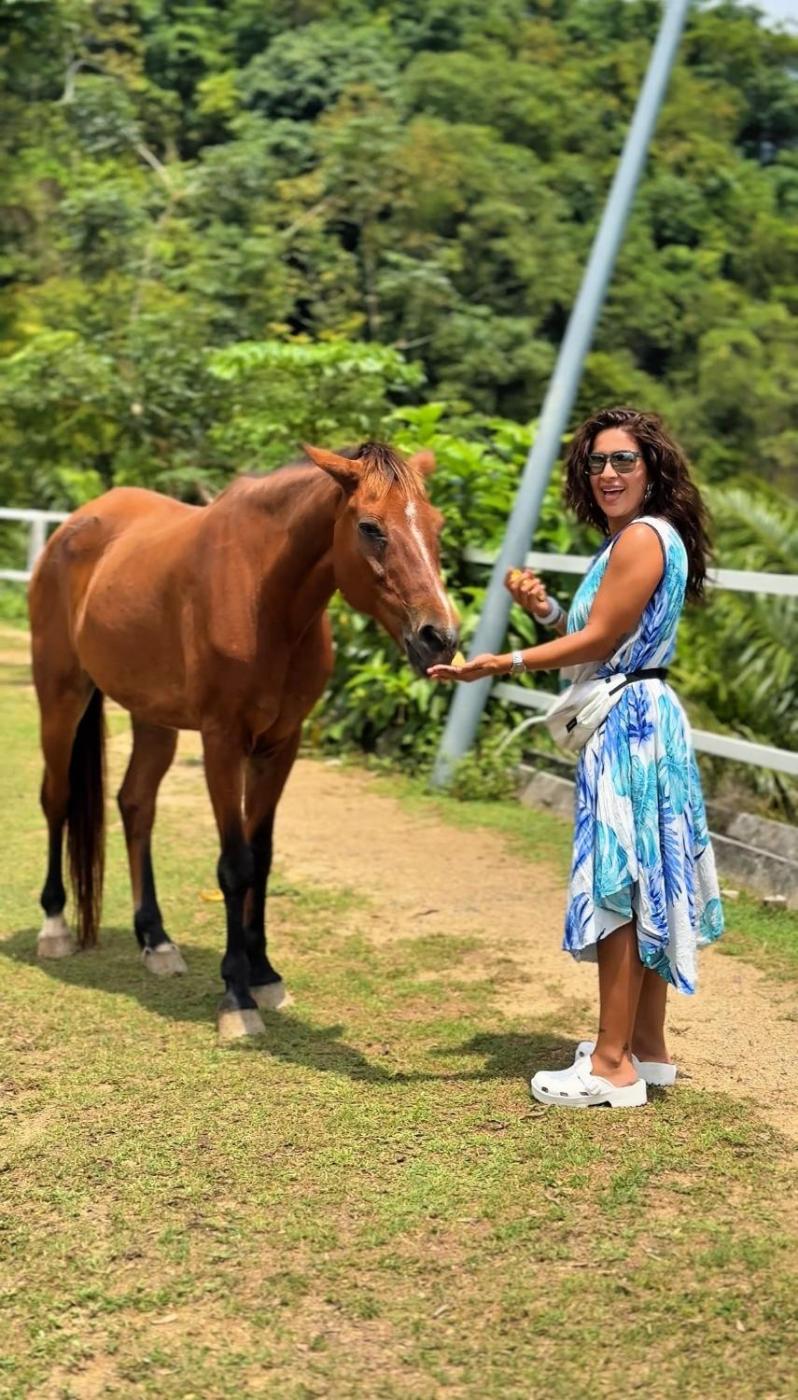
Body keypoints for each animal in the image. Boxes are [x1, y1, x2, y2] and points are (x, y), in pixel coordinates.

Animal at [28, 441, 458, 1040]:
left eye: (437, 526)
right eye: (371, 527)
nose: (439, 637)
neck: (264, 597)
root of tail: (72, 527)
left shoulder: (280, 746)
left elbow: (264, 857)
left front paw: (264, 973)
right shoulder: (223, 743)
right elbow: (235, 864)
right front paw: (236, 995)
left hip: (152, 718)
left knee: (136, 805)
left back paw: (155, 940)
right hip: (61, 696)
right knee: (58, 799)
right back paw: (55, 927)